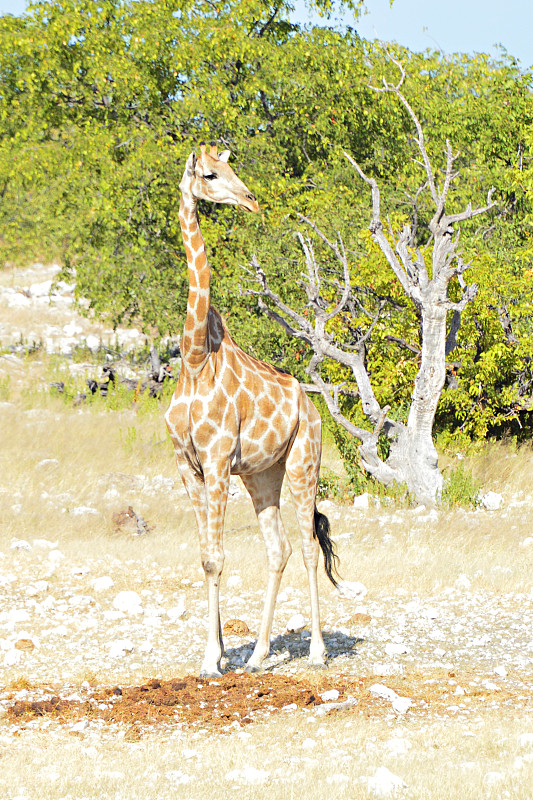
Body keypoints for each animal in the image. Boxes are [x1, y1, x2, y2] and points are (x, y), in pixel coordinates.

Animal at [164, 142, 338, 676]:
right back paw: (259, 655)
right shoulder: (188, 465)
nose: (249, 200)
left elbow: (217, 558)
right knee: (279, 549)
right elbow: (205, 556)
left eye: (230, 168)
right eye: (209, 174)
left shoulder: (218, 460)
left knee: (307, 546)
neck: (194, 358)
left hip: (304, 461)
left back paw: (318, 651)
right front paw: (219, 652)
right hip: (263, 475)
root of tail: (313, 408)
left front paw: (210, 660)